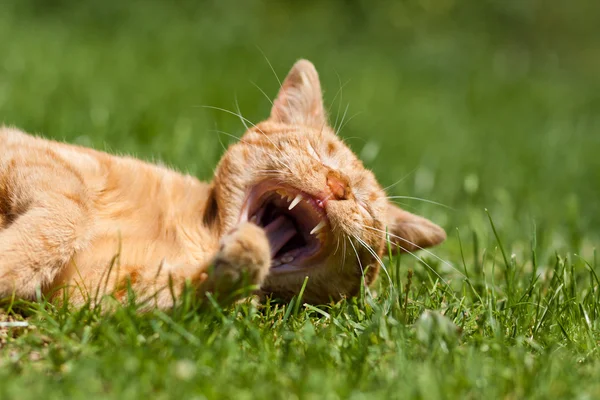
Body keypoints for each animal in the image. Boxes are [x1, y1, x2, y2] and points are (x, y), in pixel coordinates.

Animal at [0, 59, 446, 310]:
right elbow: (68, 212)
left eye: (365, 206)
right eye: (321, 154)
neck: (194, 233)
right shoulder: (37, 159)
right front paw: (14, 263)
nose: (338, 185)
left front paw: (245, 259)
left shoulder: (106, 290)